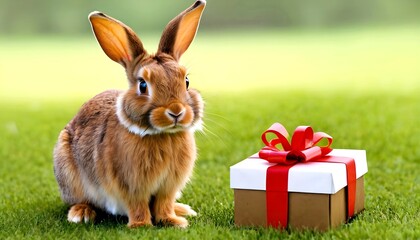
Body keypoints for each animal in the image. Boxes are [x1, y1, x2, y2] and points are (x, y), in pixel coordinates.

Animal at [53, 0, 207, 229]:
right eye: (143, 85)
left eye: (186, 81)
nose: (176, 111)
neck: (162, 135)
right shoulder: (130, 185)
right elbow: (137, 205)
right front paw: (141, 225)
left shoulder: (168, 187)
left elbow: (164, 204)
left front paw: (173, 221)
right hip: (69, 174)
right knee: (81, 200)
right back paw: (81, 214)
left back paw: (183, 209)